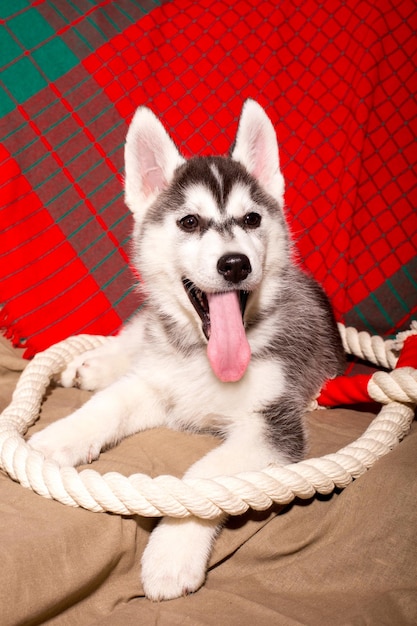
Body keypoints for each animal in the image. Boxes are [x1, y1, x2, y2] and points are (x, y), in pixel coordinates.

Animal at [30, 100, 344, 596]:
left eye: (252, 219)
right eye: (189, 222)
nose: (235, 264)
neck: (203, 356)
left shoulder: (272, 424)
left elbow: (203, 479)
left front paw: (171, 553)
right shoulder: (158, 383)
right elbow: (108, 404)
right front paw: (58, 438)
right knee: (137, 337)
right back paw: (93, 365)